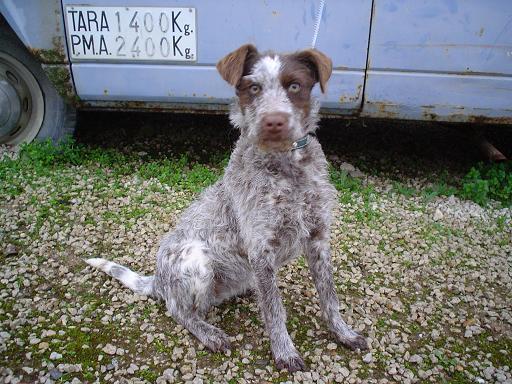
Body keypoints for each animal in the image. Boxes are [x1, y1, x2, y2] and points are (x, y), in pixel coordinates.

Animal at [88, 44, 368, 372]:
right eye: (254, 88)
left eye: (295, 86)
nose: (274, 122)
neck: (286, 169)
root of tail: (157, 281)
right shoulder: (261, 249)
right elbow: (275, 310)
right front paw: (284, 352)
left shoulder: (318, 239)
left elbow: (329, 297)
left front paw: (343, 333)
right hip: (196, 259)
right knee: (180, 311)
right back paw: (209, 333)